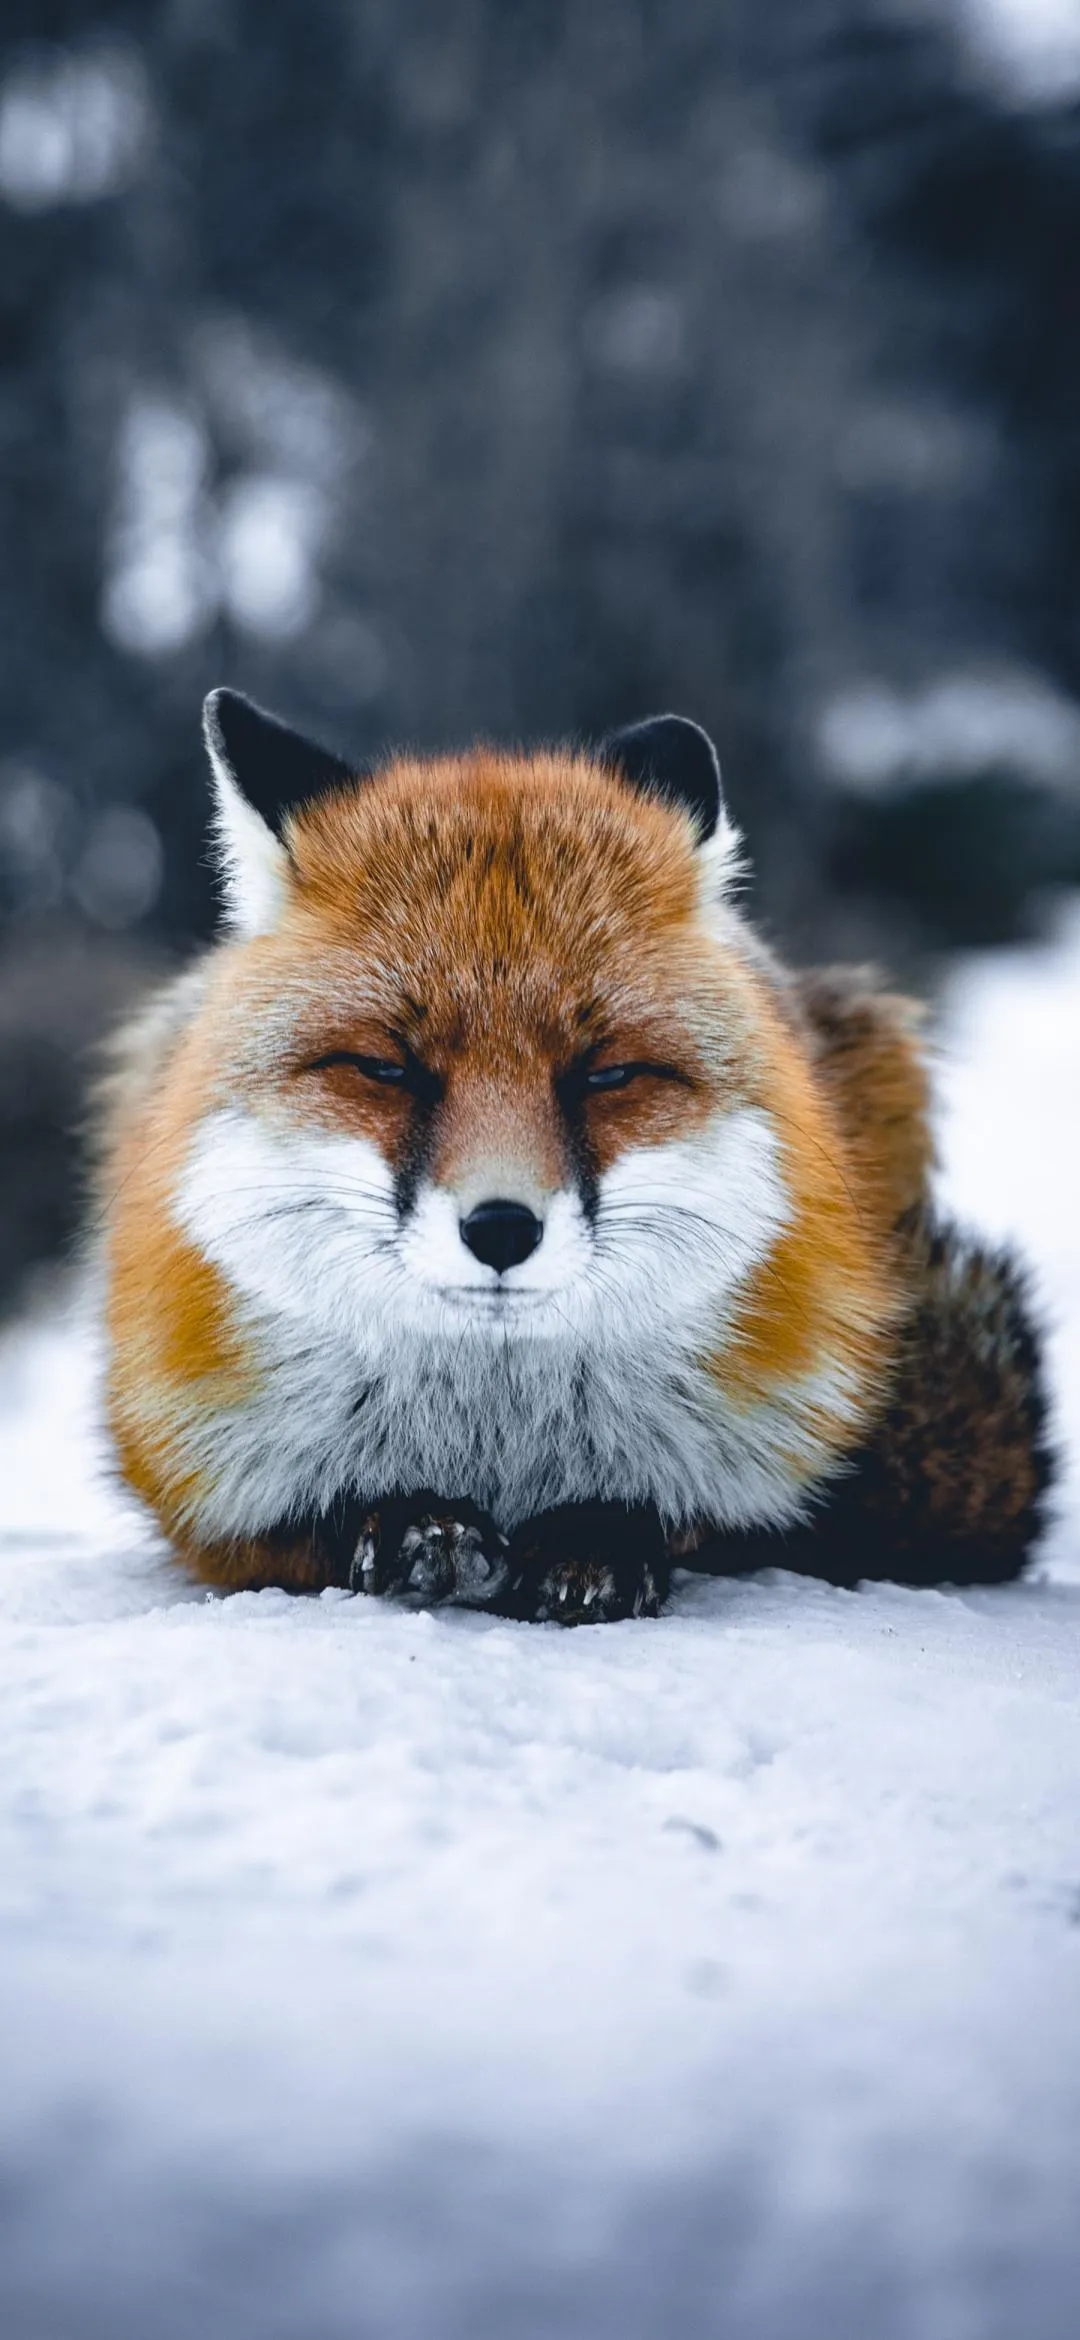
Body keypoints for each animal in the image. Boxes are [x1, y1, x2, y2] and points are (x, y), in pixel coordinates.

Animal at [97, 691, 1053, 1621]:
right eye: (386, 1069)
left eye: (607, 1074)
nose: (501, 1229)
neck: (497, 1442)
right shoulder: (199, 1487)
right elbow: (311, 1527)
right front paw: (410, 1522)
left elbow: (692, 1518)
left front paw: (596, 1540)